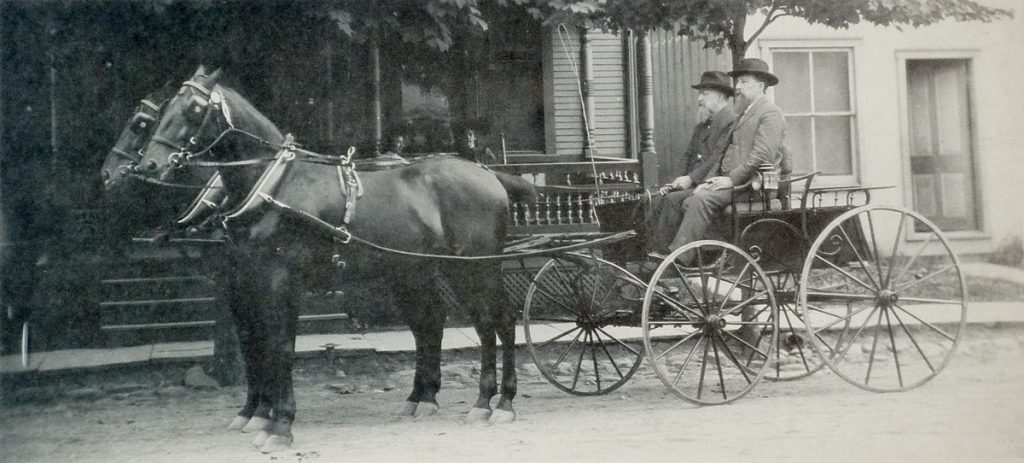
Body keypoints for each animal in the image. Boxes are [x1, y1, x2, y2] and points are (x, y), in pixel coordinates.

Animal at [126, 67, 528, 452]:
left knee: (498, 322)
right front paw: (259, 414)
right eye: (163, 111)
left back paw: (497, 402)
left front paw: (279, 425)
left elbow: (279, 348)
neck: (273, 185)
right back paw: (441, 400)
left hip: (475, 268)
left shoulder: (279, 280)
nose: (148, 165)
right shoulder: (249, 281)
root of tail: (489, 175)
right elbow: (258, 344)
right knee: (445, 325)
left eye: (194, 109)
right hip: (420, 270)